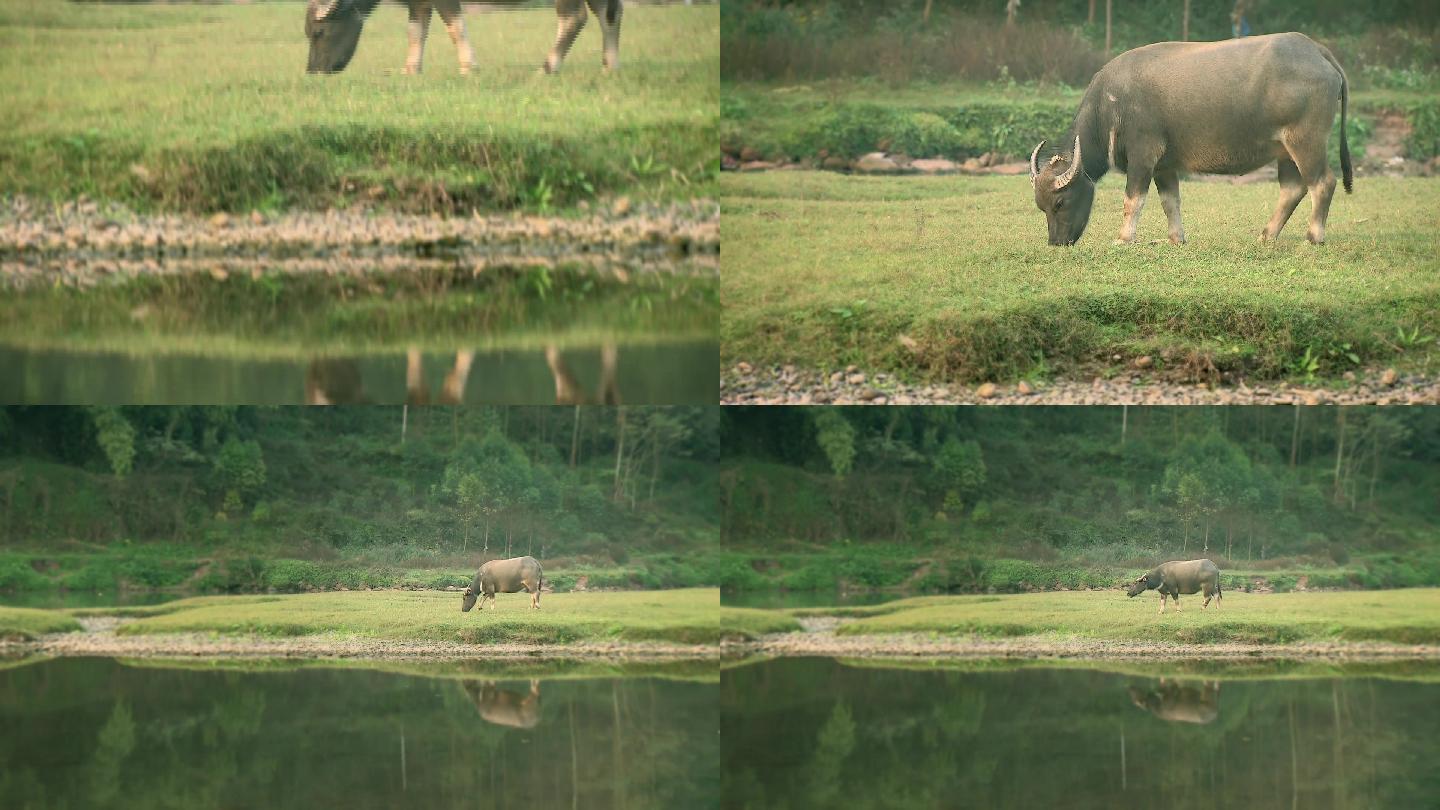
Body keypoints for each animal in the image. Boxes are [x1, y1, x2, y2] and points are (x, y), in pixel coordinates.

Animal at [1036, 31, 1347, 245]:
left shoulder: (1143, 155)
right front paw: (1176, 239)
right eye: (1041, 207)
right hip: (1285, 149)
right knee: (1293, 189)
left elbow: (1133, 200)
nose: (1056, 243)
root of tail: (1317, 51)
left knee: (1323, 183)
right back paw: (1266, 235)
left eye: (1059, 203)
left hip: (1306, 140)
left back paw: (1313, 237)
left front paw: (1124, 239)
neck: (1110, 107)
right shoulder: (1163, 165)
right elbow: (1170, 201)